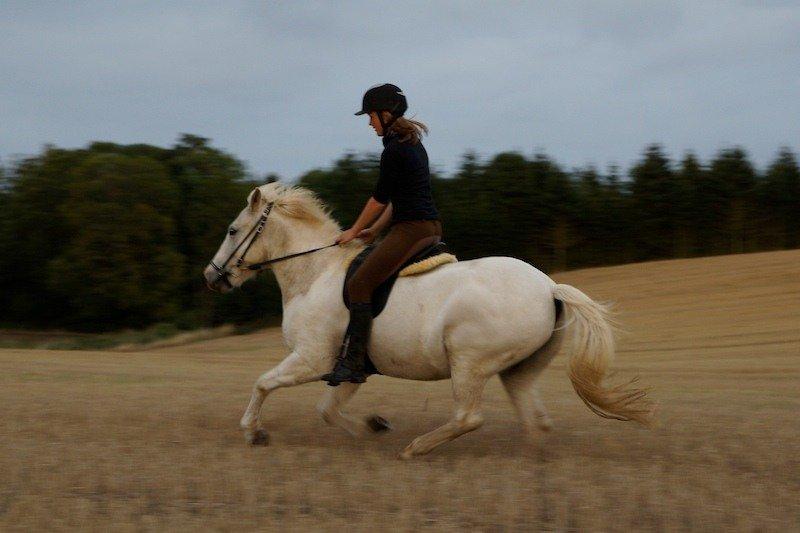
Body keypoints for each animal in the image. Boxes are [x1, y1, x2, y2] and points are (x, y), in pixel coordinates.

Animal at [203, 182, 652, 458]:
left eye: (232, 230)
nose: (212, 276)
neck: (315, 273)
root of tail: (549, 287)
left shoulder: (312, 359)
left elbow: (263, 383)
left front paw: (254, 432)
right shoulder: (350, 369)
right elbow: (327, 410)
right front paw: (373, 427)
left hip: (469, 362)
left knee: (469, 417)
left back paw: (416, 449)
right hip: (519, 371)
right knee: (535, 421)